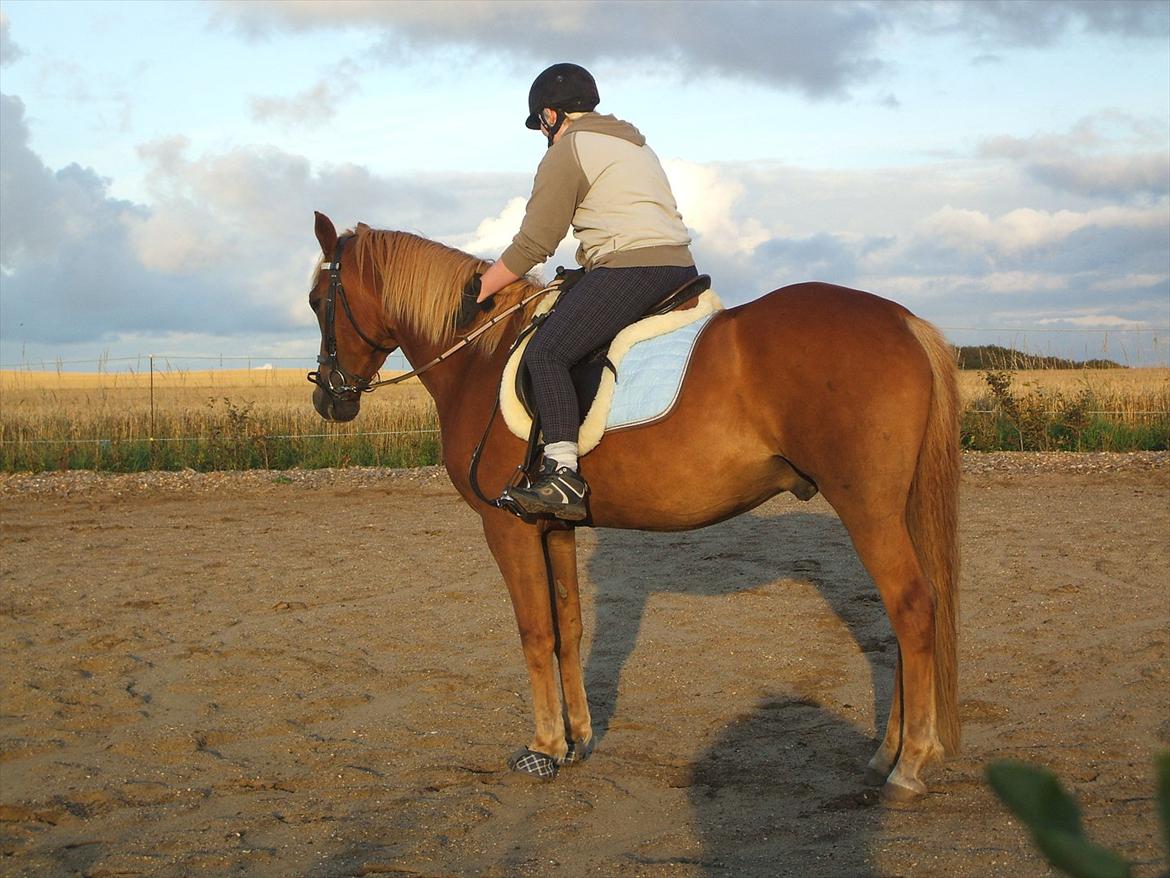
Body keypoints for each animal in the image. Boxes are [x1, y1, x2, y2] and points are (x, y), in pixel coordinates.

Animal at [306, 209, 964, 800]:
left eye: (317, 301)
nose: (329, 401)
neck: (479, 357)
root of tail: (905, 320)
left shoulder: (507, 526)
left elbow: (534, 632)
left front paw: (543, 749)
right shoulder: (551, 524)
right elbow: (569, 628)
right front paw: (577, 739)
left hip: (869, 510)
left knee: (911, 609)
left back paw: (908, 766)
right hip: (895, 511)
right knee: (913, 614)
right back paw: (888, 753)